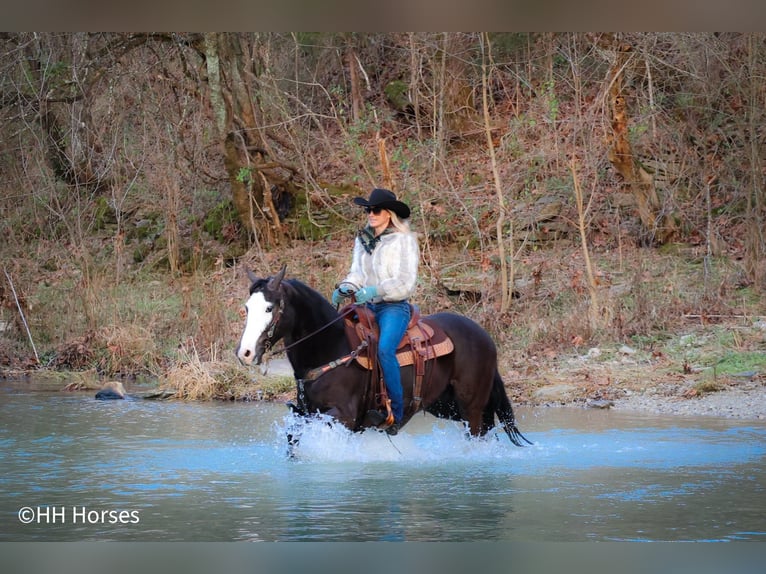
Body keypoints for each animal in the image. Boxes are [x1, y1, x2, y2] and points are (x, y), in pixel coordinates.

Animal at [237, 266, 532, 450]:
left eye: (269, 308)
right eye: (247, 308)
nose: (245, 353)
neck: (332, 346)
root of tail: (485, 337)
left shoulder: (344, 416)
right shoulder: (306, 412)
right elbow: (292, 435)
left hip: (471, 407)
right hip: (447, 405)